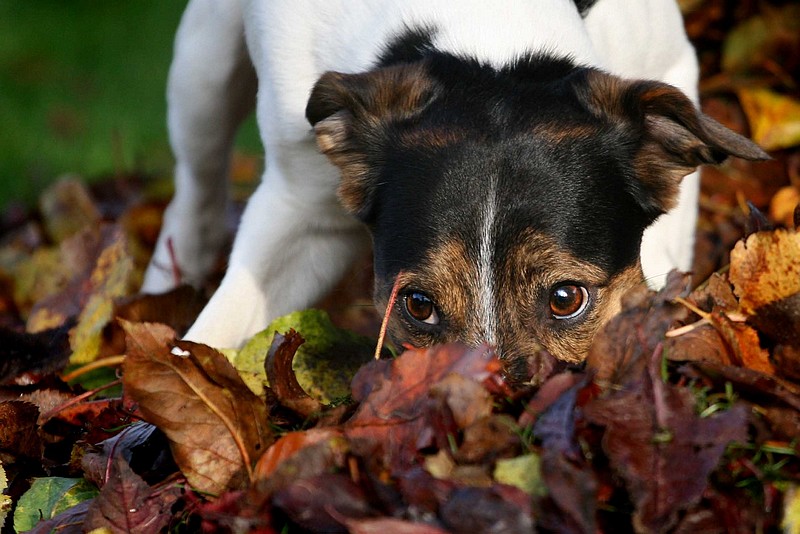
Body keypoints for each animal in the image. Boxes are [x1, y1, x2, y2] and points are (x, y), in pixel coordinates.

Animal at [144, 1, 768, 376]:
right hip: (204, 62)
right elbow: (212, 332)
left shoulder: (674, 59)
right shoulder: (298, 209)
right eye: (418, 305)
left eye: (566, 298)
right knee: (196, 182)